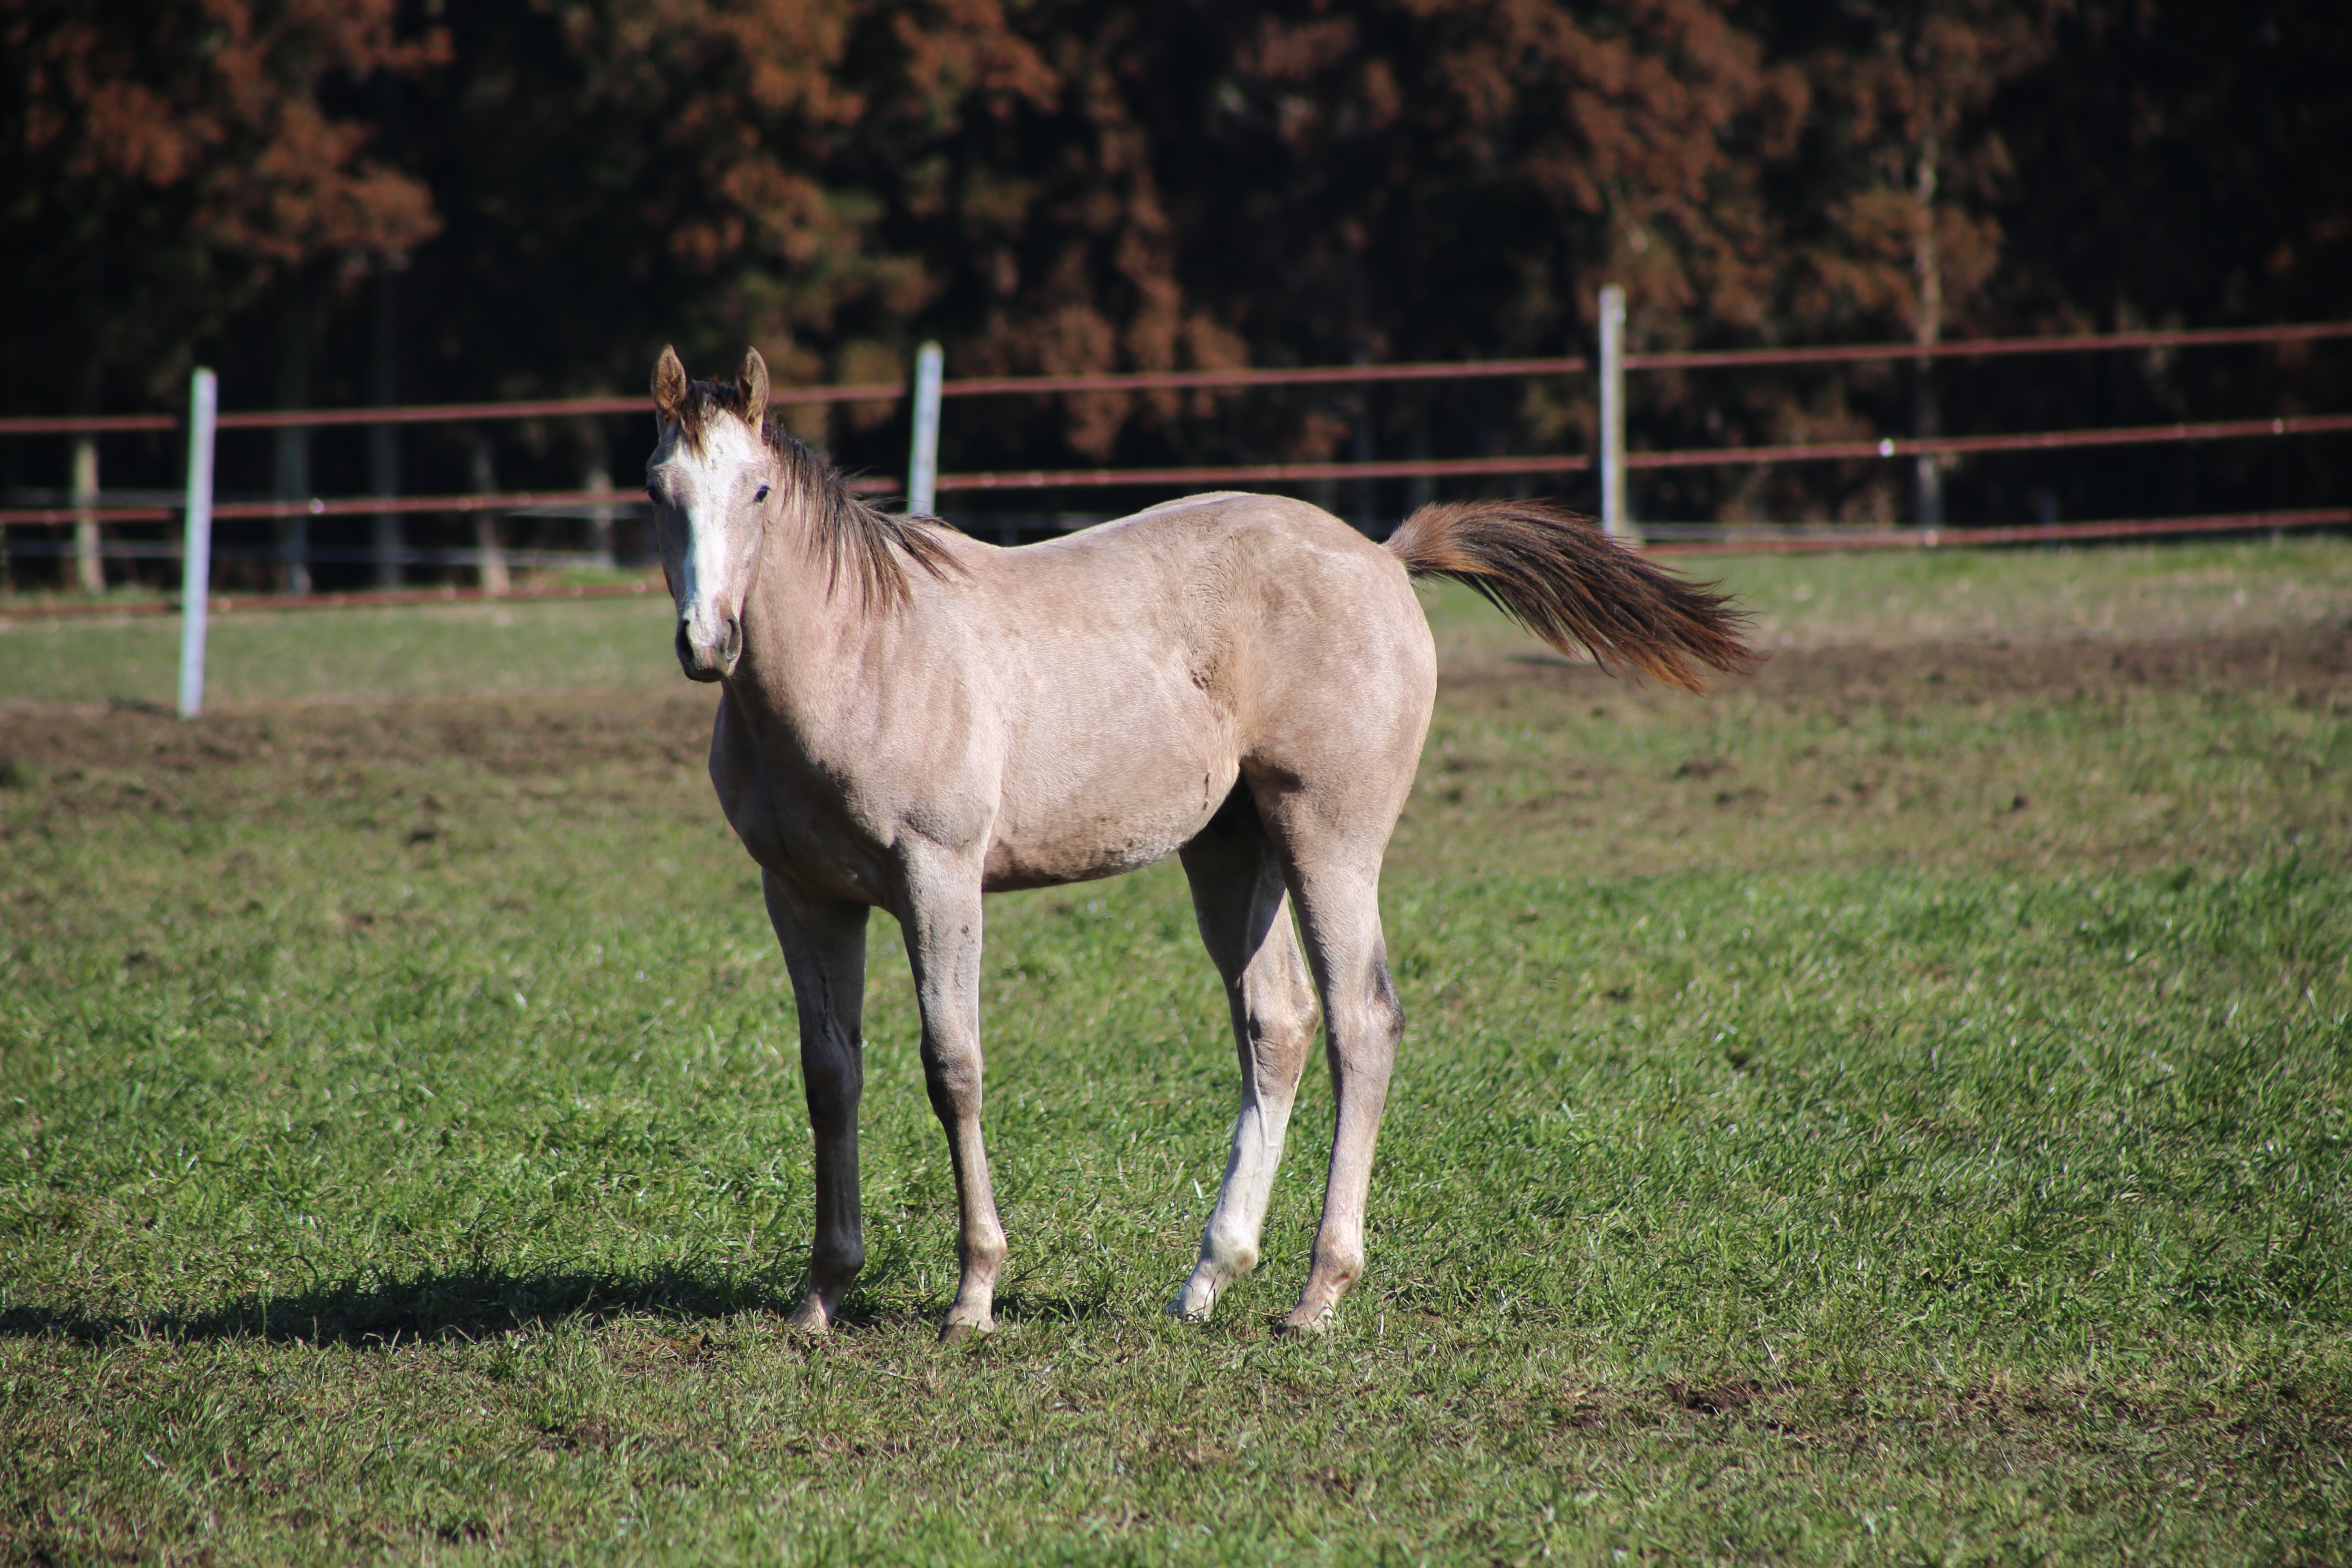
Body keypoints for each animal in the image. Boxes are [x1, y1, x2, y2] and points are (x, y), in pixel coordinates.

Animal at [639, 343, 1750, 1335]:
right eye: (659, 490)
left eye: (760, 490)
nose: (707, 642)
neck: (865, 656)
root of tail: (1384, 555)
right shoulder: (803, 895)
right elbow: (830, 1077)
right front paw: (821, 1296)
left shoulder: (936, 878)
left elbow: (952, 1067)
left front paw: (973, 1295)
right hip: (1231, 848)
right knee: (1278, 1023)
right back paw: (1210, 1277)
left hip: (1325, 837)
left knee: (1362, 1022)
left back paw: (1318, 1292)